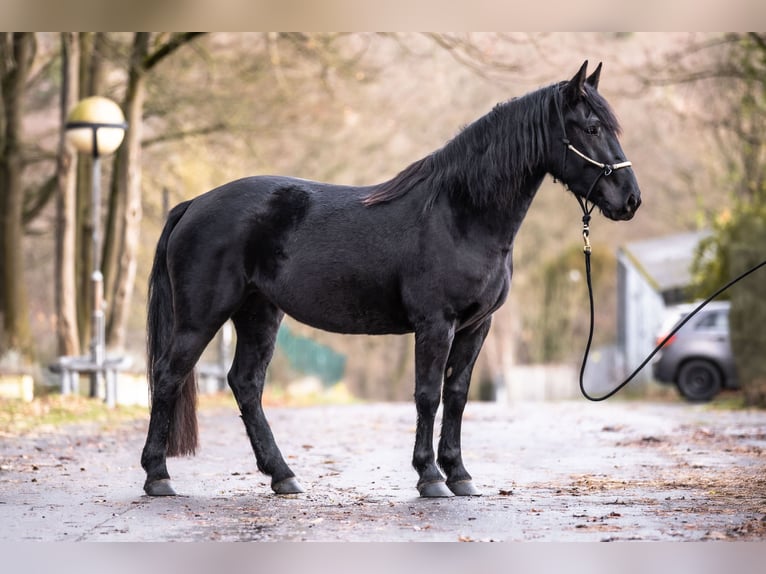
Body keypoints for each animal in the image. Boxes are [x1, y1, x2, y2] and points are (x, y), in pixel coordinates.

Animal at [141, 63, 640, 500]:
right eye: (591, 128)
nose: (631, 199)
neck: (460, 214)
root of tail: (195, 203)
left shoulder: (477, 327)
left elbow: (457, 396)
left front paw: (460, 475)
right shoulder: (435, 324)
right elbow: (427, 396)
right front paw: (430, 478)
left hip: (259, 313)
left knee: (246, 383)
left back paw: (283, 475)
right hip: (202, 317)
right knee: (168, 376)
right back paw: (158, 476)